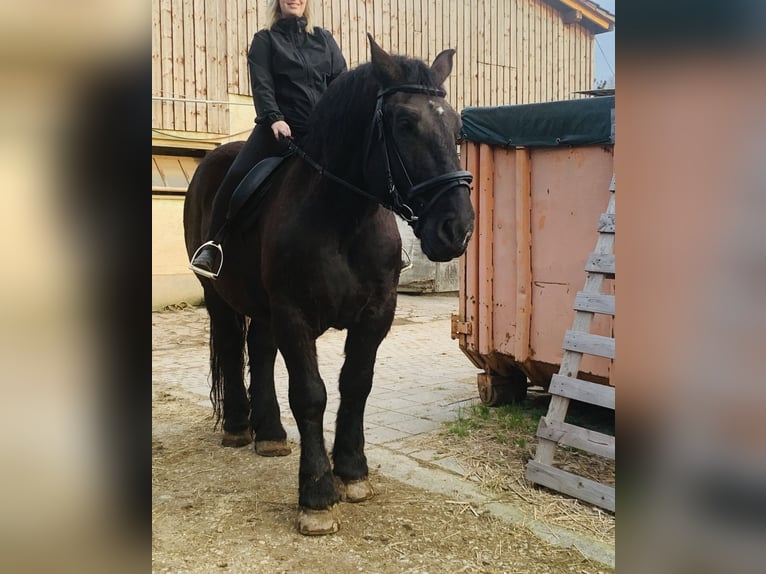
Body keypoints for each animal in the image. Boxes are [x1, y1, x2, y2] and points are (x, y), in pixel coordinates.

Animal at [183, 35, 475, 535]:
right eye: (403, 122)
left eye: (456, 126)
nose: (456, 228)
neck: (342, 220)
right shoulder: (294, 314)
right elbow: (310, 394)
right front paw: (317, 495)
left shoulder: (377, 313)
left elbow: (356, 384)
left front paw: (353, 473)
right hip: (219, 296)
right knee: (231, 345)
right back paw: (240, 427)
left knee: (260, 352)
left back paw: (270, 434)